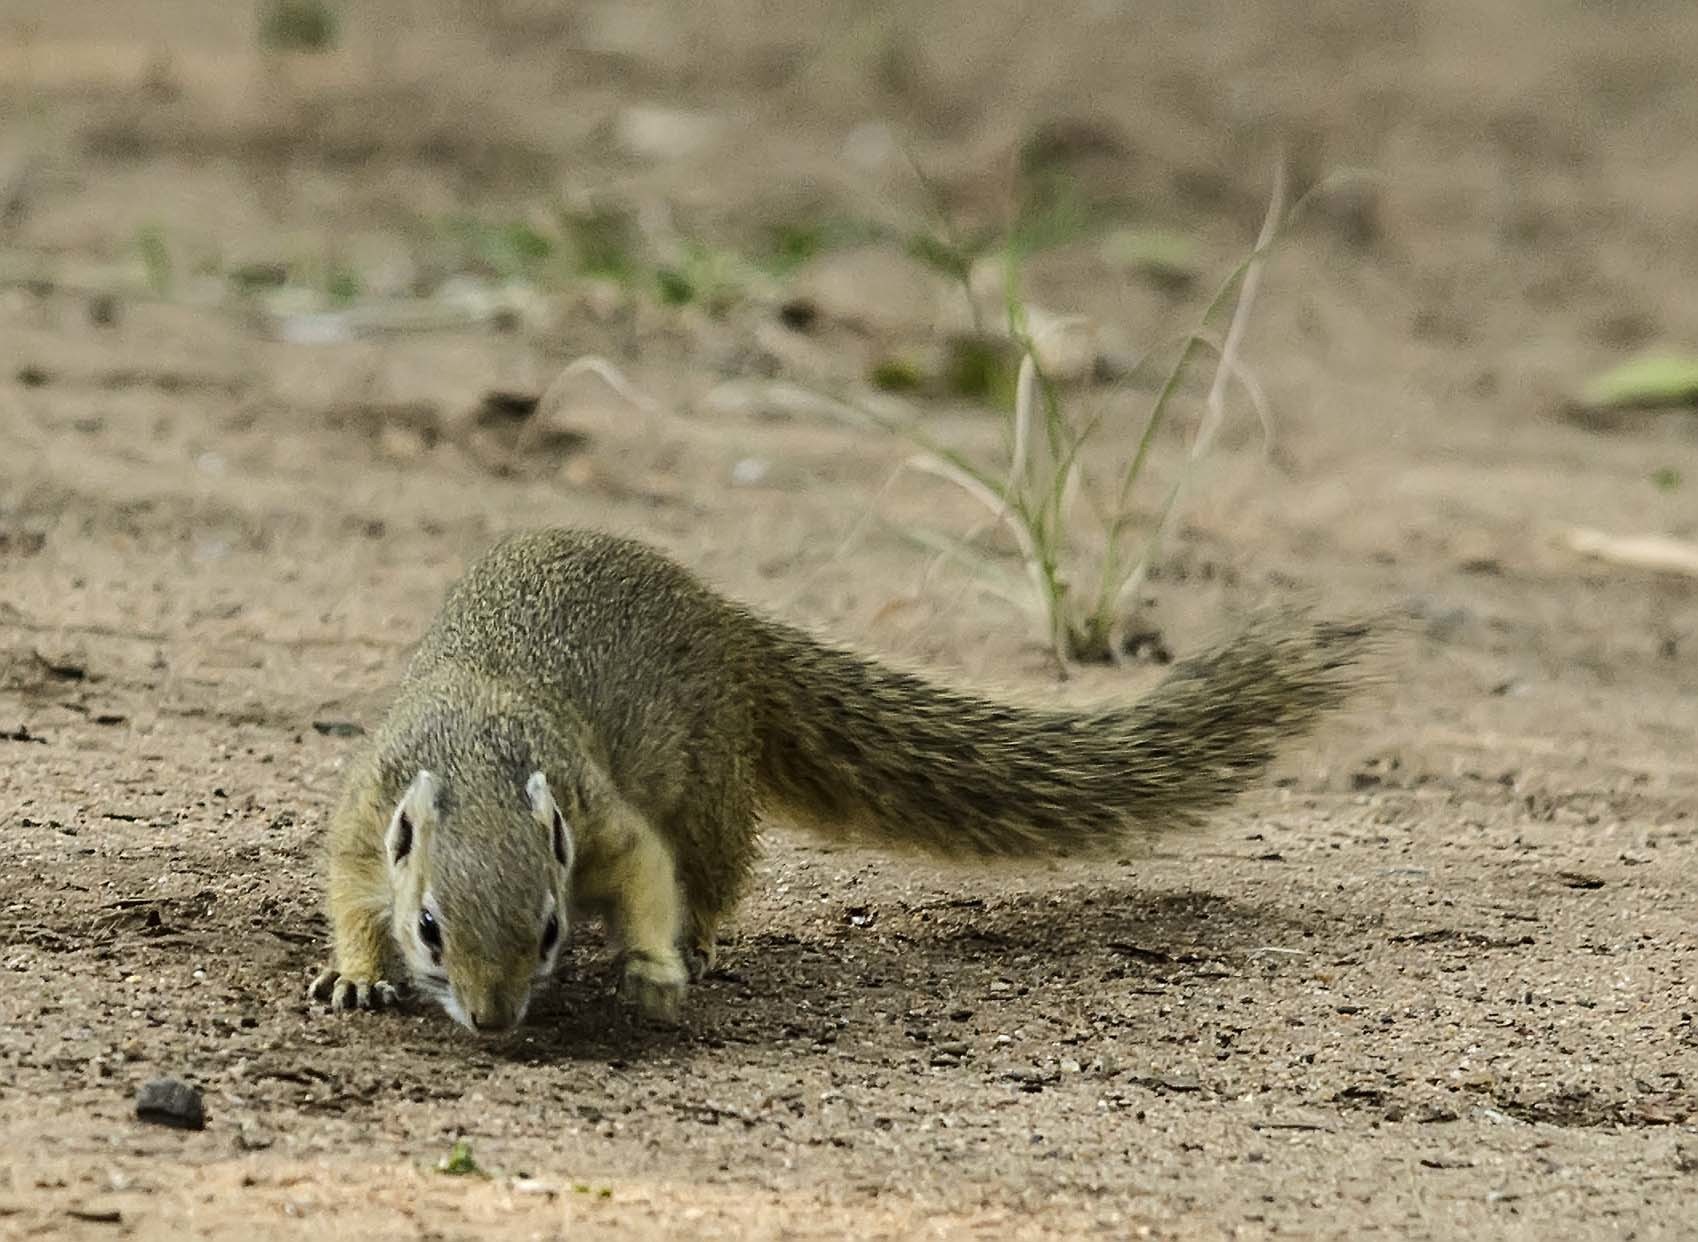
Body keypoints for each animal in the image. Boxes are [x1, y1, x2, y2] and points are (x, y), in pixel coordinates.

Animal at [302, 530, 1365, 1033]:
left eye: (550, 928)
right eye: (430, 929)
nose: (493, 1019)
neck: (478, 757)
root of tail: (722, 618)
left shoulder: (601, 820)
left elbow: (646, 872)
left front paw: (654, 969)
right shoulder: (366, 817)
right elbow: (351, 897)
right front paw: (355, 975)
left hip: (713, 790)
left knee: (712, 874)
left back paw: (702, 944)